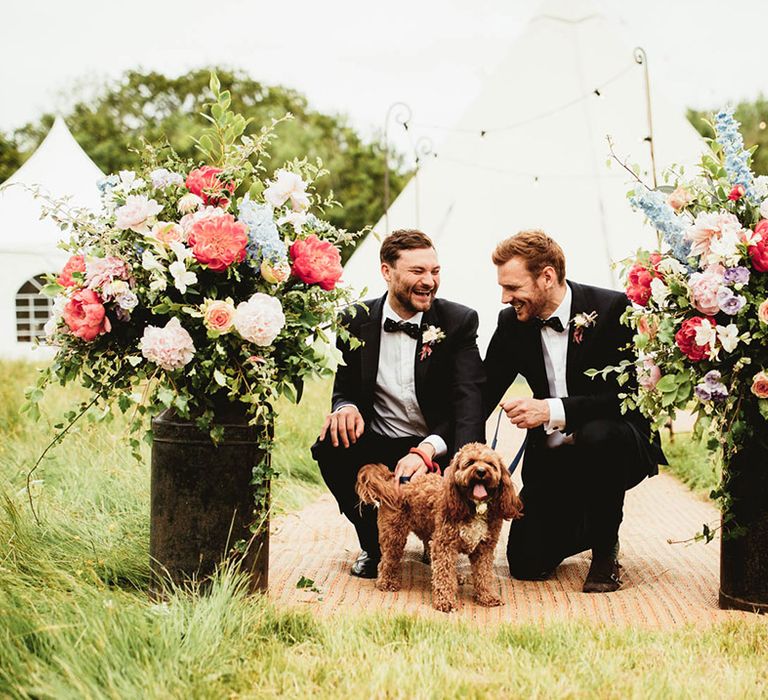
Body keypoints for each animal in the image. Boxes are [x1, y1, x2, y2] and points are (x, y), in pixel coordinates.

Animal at [356, 442, 520, 612]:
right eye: (469, 463)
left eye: (490, 464)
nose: (481, 471)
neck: (474, 506)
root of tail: (393, 479)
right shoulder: (444, 544)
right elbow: (444, 574)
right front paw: (445, 601)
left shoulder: (484, 549)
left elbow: (484, 574)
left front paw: (487, 596)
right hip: (394, 534)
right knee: (387, 560)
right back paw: (387, 582)